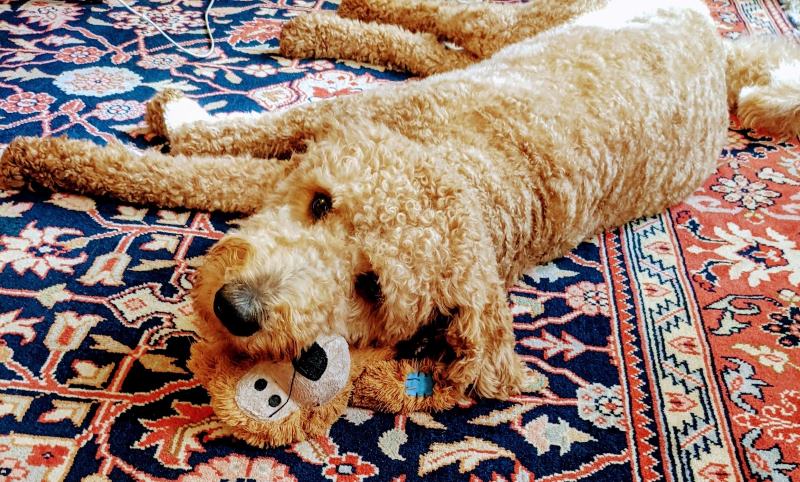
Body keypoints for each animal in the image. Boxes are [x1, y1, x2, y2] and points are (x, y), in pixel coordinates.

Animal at [1, 0, 800, 404]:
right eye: (321, 204)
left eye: (369, 288)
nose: (237, 309)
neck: (482, 173)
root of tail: (716, 42)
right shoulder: (332, 122)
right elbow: (221, 144)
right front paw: (60, 150)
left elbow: (196, 175)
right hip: (522, 24)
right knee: (441, 18)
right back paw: (334, 15)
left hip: (501, 45)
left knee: (431, 46)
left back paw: (317, 29)